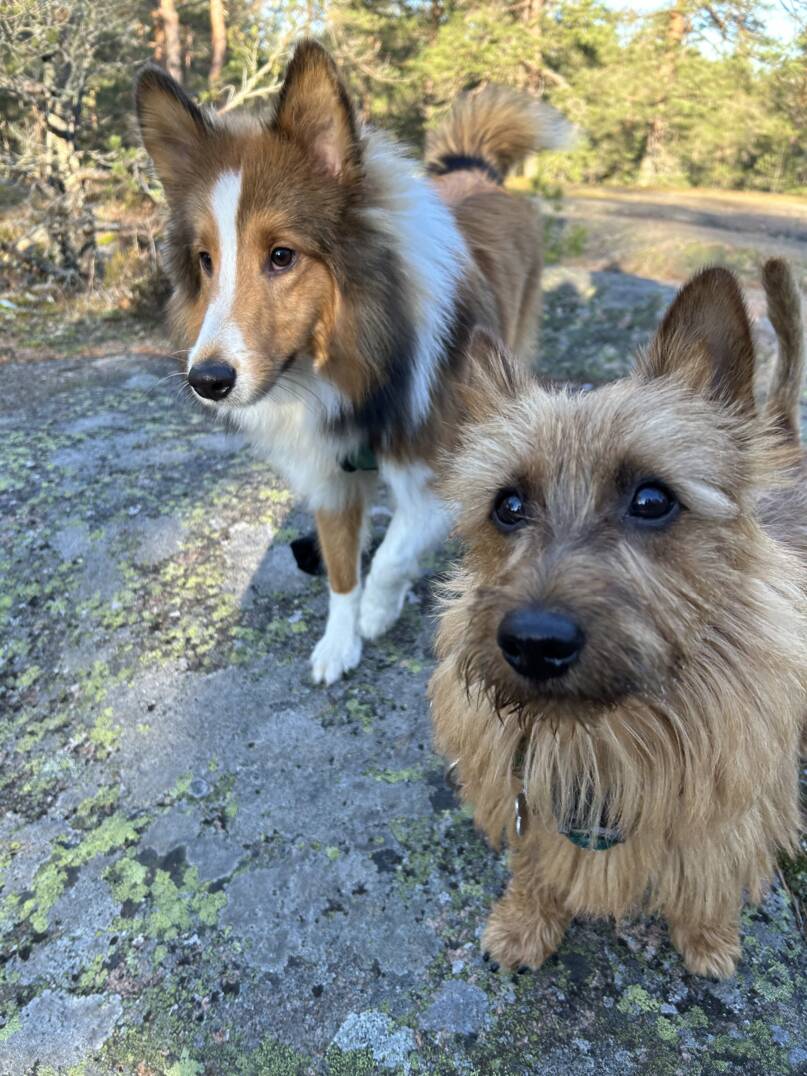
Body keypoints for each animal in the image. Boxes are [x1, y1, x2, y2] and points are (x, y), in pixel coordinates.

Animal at [136, 41, 563, 684]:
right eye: (206, 260)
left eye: (281, 255)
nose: (206, 381)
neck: (361, 370)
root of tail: (481, 169)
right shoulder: (329, 477)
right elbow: (342, 570)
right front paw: (339, 643)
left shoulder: (438, 473)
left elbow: (389, 555)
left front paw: (379, 612)